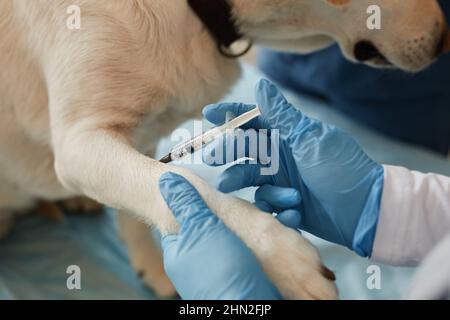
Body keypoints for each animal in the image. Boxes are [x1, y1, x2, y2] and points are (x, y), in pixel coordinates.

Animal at [0, 0, 446, 300]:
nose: (445, 40)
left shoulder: (138, 136)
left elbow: (139, 205)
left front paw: (152, 267)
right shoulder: (82, 142)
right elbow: (172, 175)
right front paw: (281, 258)